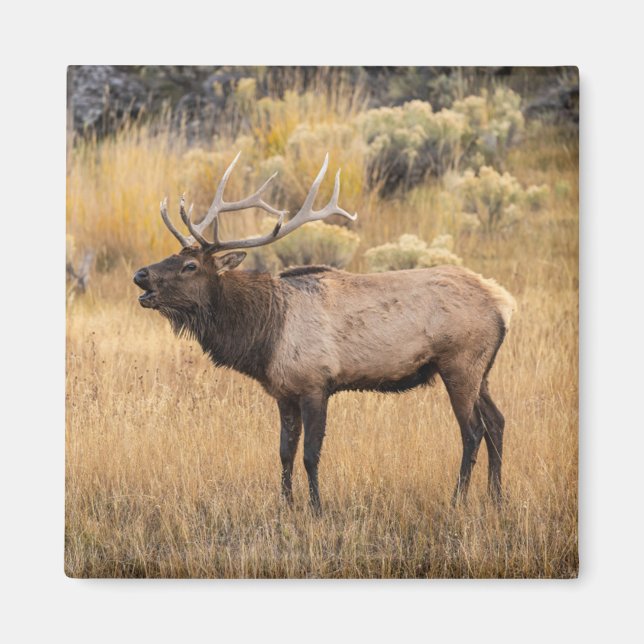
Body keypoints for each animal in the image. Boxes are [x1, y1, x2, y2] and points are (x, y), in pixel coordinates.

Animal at [133, 153, 515, 514]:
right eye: (172, 255)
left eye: (190, 265)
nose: (140, 275)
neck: (264, 336)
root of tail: (504, 303)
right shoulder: (283, 392)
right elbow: (284, 452)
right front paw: (286, 504)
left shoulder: (316, 383)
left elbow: (310, 454)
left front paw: (316, 508)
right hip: (481, 370)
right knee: (497, 422)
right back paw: (496, 497)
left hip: (460, 363)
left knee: (473, 431)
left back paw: (458, 500)